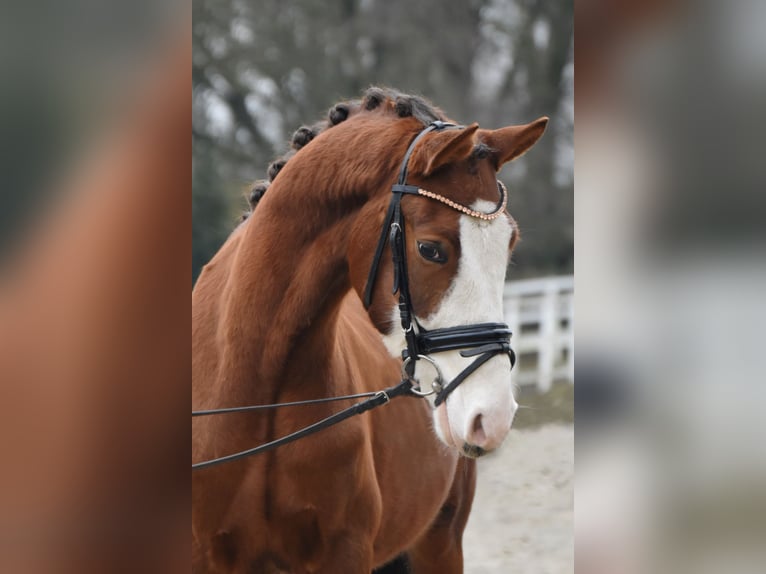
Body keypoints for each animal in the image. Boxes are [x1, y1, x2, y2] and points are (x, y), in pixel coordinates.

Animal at [195, 88, 548, 572]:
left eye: (509, 243)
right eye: (430, 249)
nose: (490, 417)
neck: (256, 396)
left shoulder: (345, 552)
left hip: (440, 543)